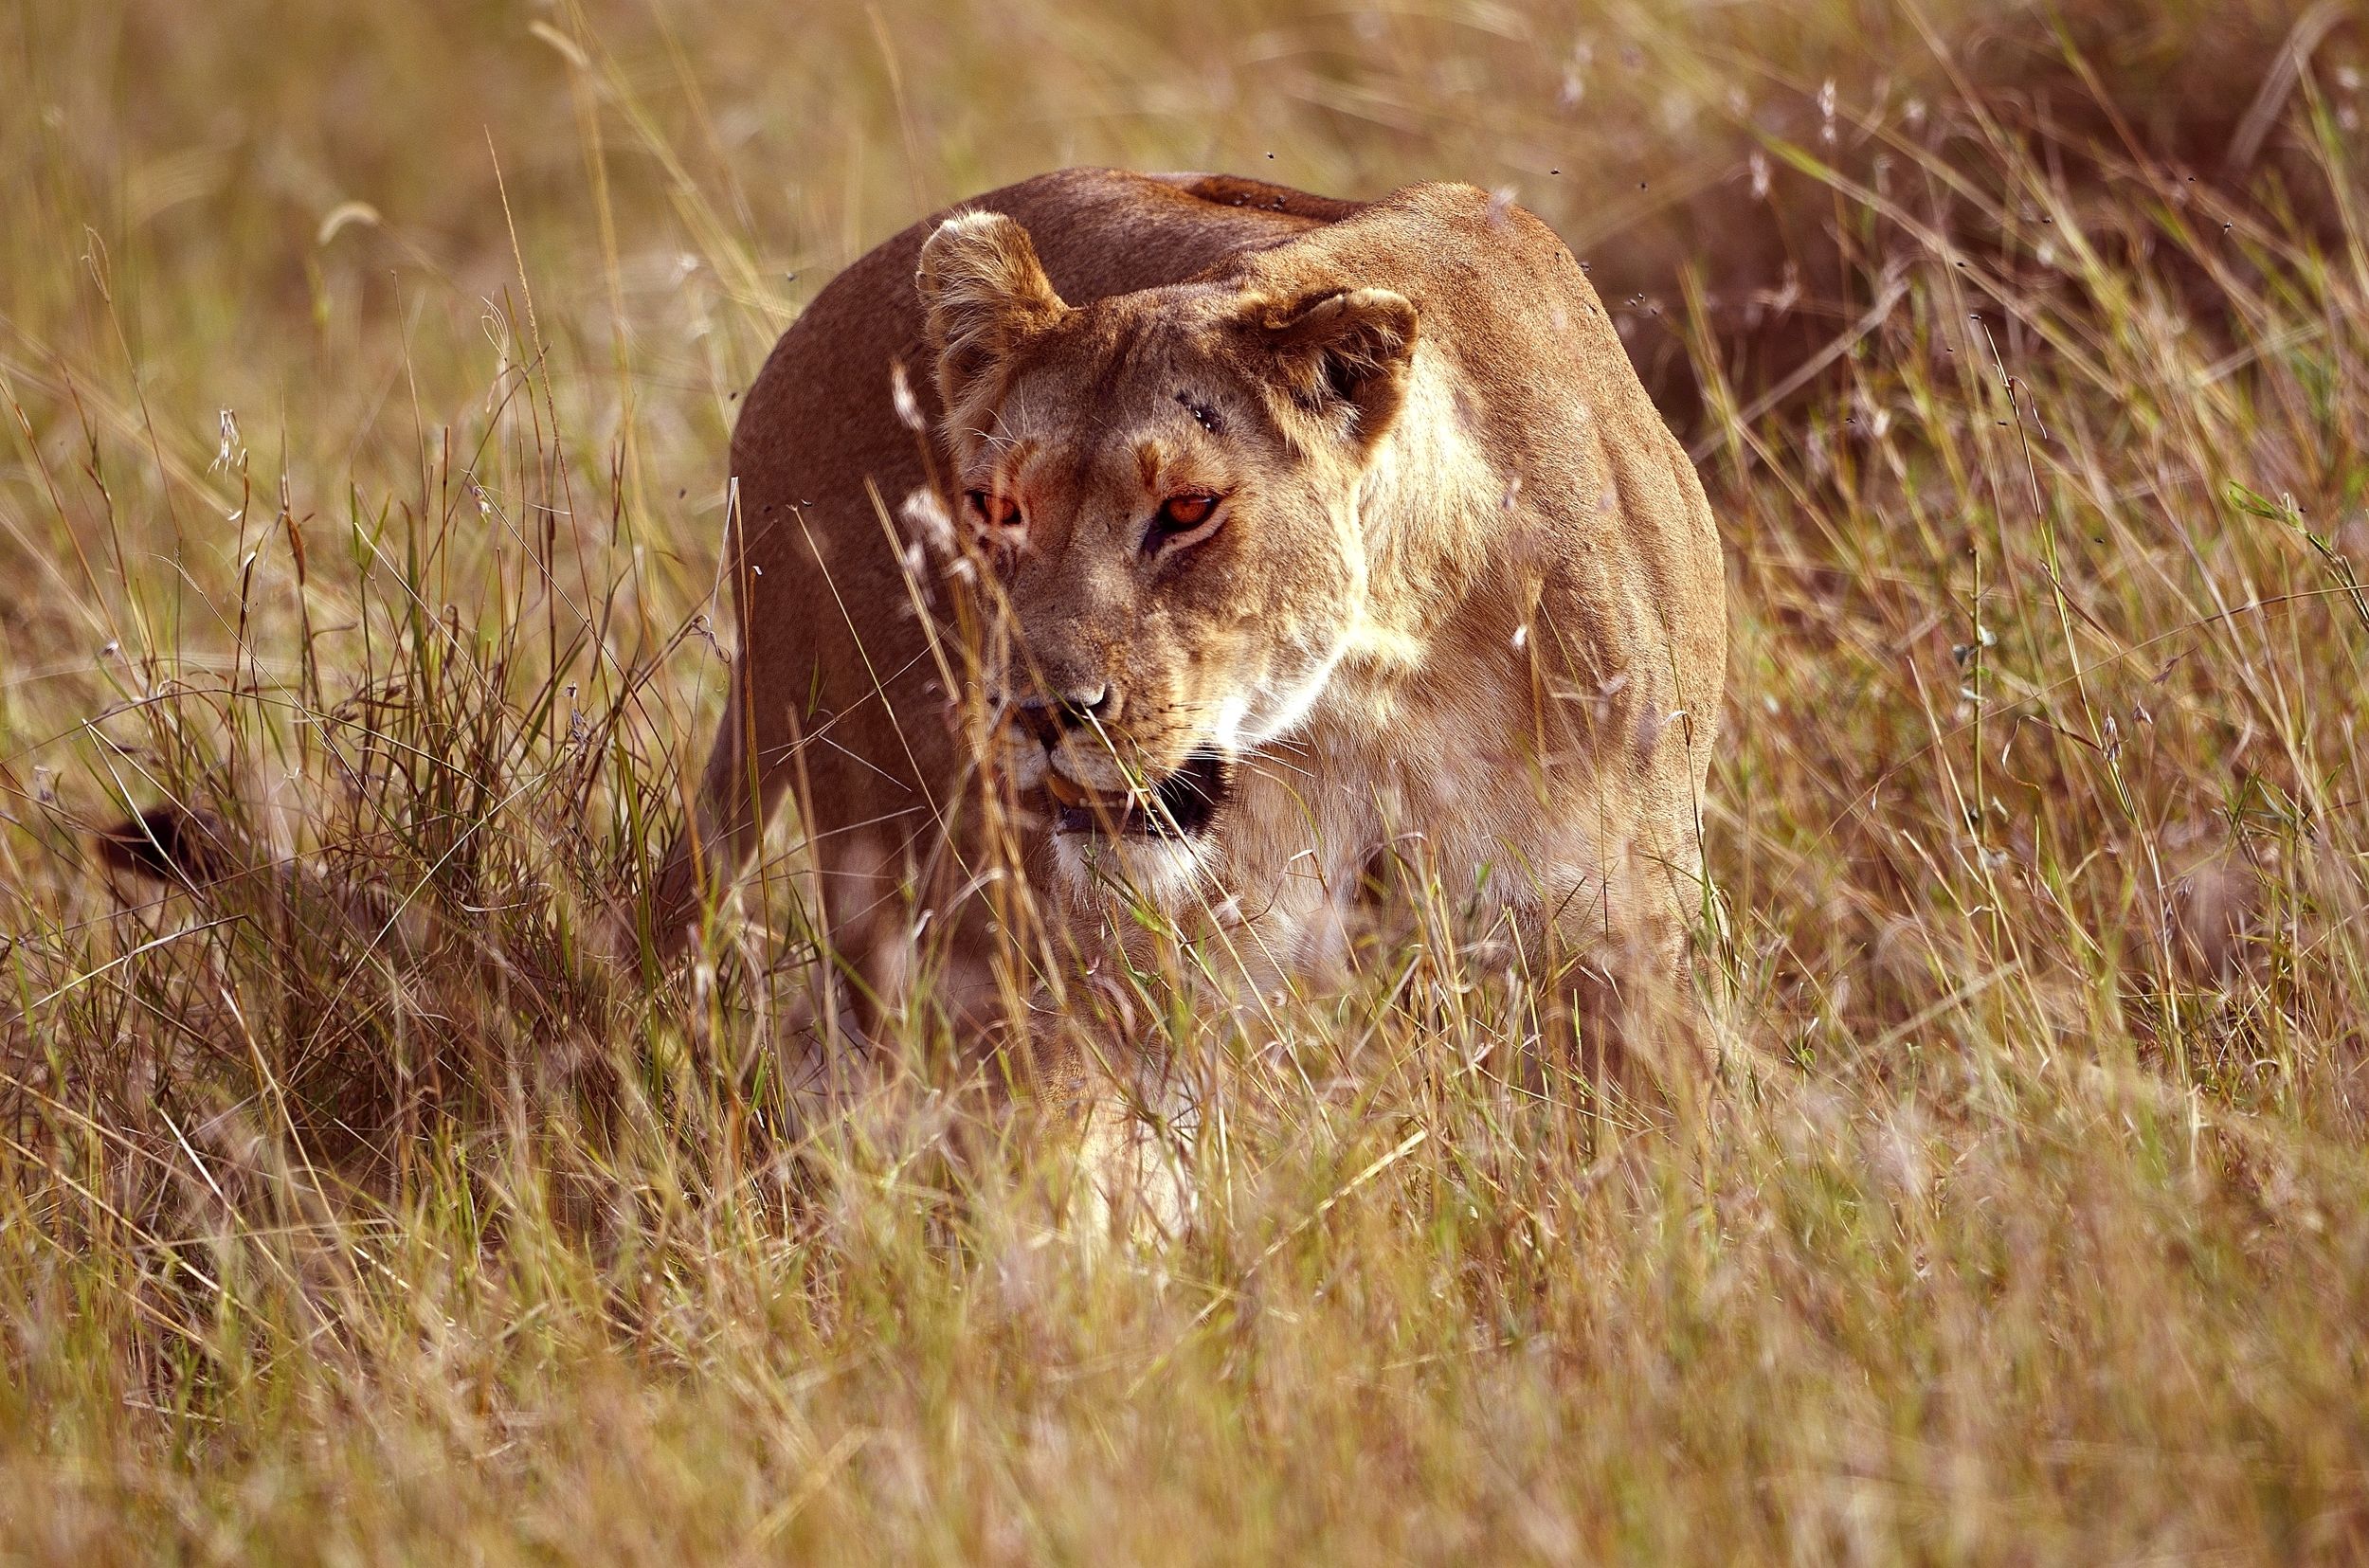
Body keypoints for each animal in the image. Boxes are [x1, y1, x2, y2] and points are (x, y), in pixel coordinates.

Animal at [644, 168, 1727, 1102]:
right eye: (995, 508)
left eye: (1188, 509)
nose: (1043, 711)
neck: (1383, 687)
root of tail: (786, 360)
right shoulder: (1143, 983)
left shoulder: (1624, 938)